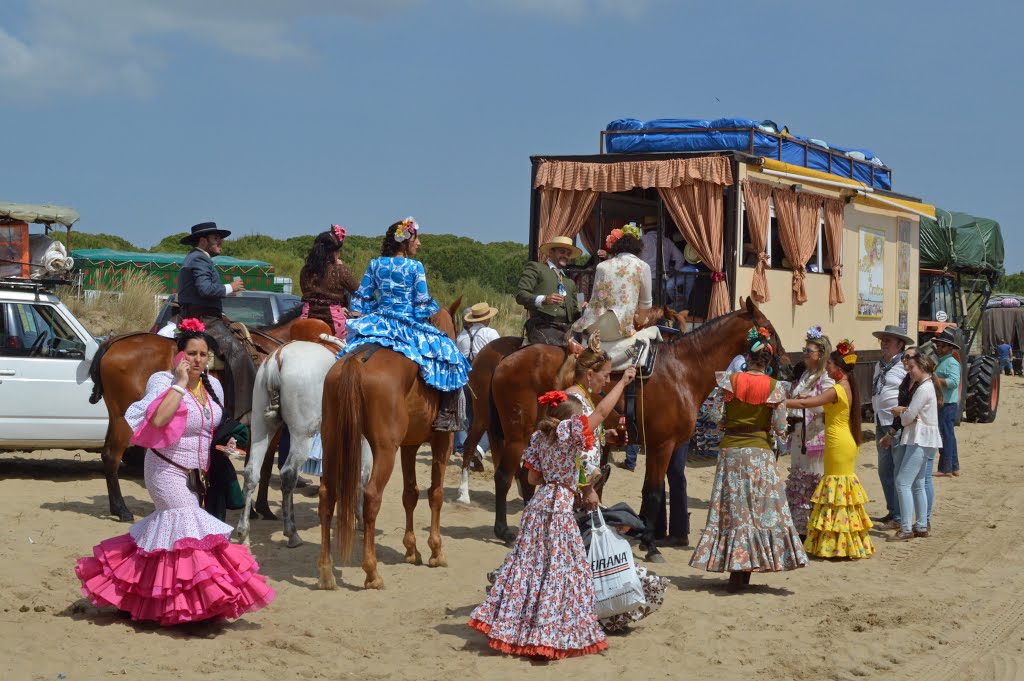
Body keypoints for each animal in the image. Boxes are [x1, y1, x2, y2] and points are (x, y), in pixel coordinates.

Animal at [88, 307, 329, 520]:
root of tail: (112, 342)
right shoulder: (271, 427)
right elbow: (265, 465)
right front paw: (261, 509)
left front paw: (254, 509)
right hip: (125, 419)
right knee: (112, 456)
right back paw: (122, 510)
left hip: (115, 417)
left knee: (107, 454)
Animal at [235, 339, 372, 548]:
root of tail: (279, 357)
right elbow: (362, 476)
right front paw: (361, 519)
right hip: (302, 435)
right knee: (288, 474)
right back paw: (291, 533)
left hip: (261, 425)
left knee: (252, 473)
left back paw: (244, 535)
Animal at [317, 296, 462, 589]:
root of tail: (356, 362)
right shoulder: (442, 442)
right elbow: (436, 493)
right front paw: (436, 551)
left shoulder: (409, 446)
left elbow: (410, 493)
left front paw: (411, 549)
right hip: (385, 450)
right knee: (372, 496)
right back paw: (371, 572)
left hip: (332, 441)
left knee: (327, 495)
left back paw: (326, 572)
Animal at [489, 301, 790, 561]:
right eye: (770, 329)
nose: (788, 366)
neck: (682, 370)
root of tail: (506, 359)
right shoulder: (661, 446)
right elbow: (655, 493)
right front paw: (651, 545)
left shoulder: (659, 445)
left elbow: (650, 491)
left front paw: (647, 537)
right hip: (517, 435)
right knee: (504, 476)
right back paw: (503, 530)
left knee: (526, 477)